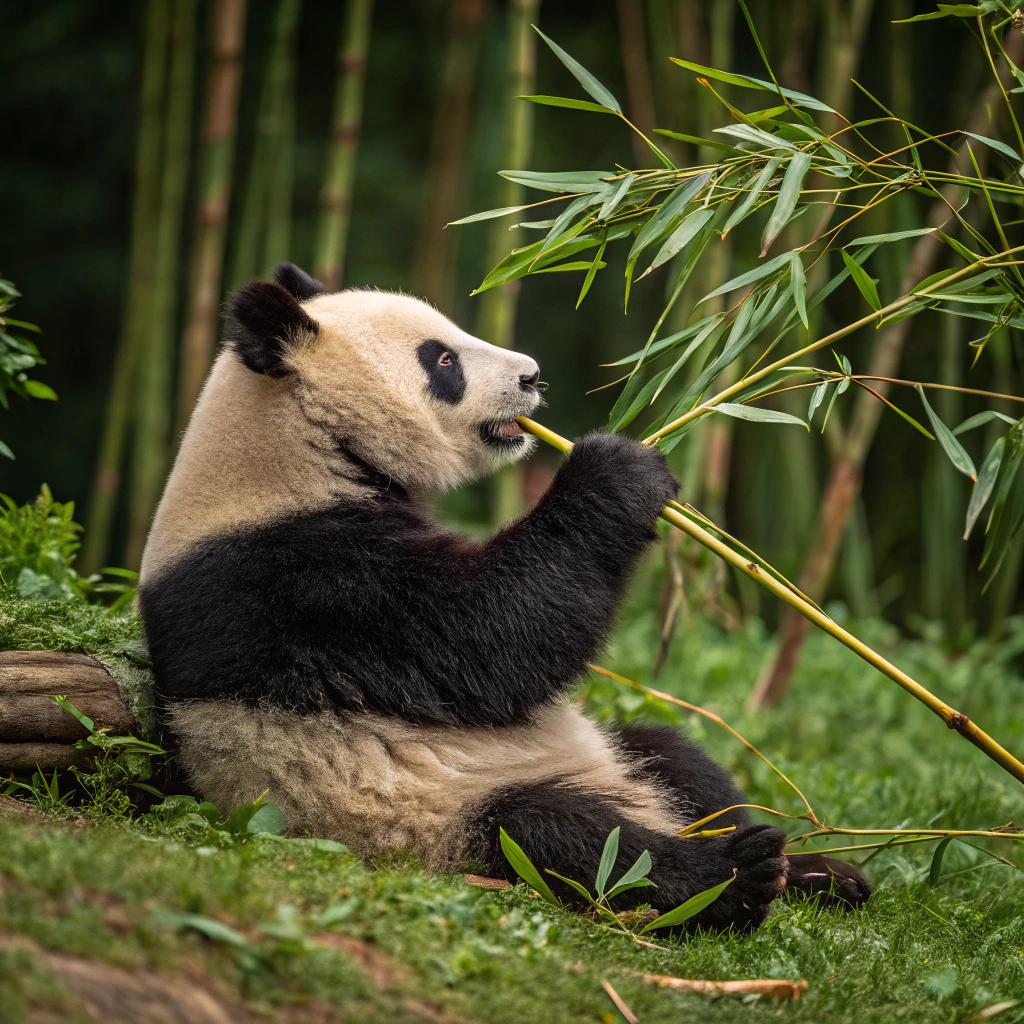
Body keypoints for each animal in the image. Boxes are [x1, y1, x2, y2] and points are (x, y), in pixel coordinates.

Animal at [138, 262, 869, 931]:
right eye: (442, 359)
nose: (531, 376)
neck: (290, 447)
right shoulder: (305, 579)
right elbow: (488, 637)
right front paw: (618, 468)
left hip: (606, 756)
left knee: (678, 760)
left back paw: (814, 871)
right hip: (436, 819)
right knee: (564, 837)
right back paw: (732, 876)